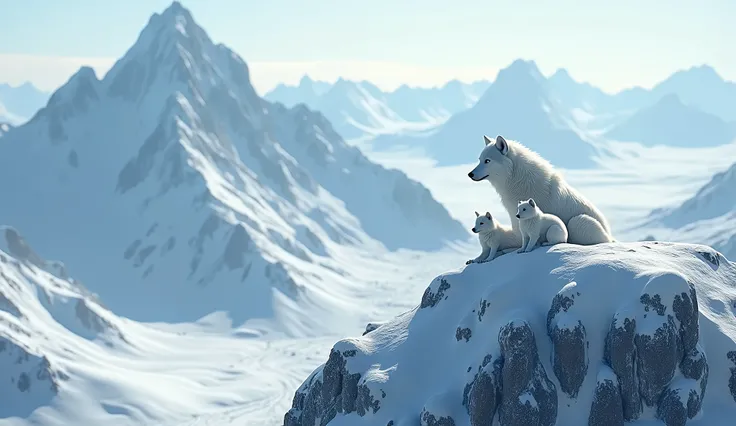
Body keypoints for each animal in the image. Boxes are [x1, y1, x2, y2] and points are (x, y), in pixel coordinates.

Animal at [468, 135, 612, 245]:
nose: (470, 174)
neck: (515, 179)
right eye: (480, 160)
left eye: (487, 161)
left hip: (576, 222)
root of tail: (610, 236)